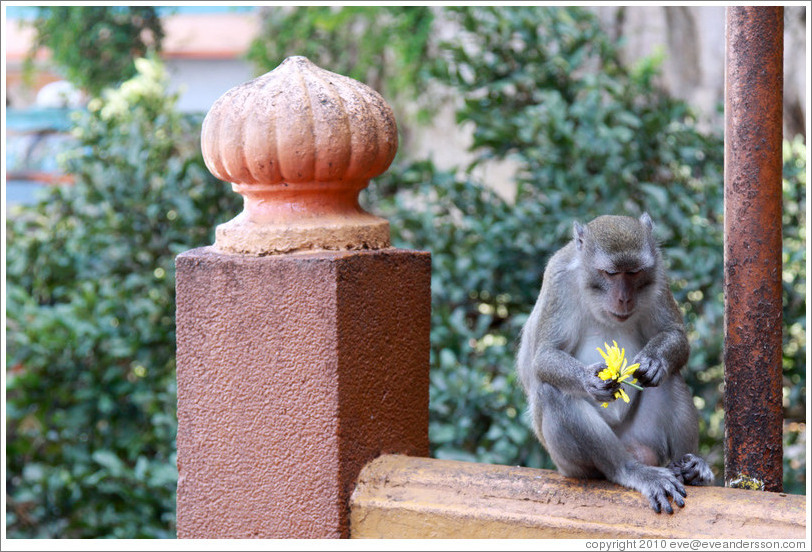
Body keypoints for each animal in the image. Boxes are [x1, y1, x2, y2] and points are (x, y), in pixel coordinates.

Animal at [516, 212, 712, 512]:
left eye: (633, 273)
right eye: (610, 274)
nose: (624, 298)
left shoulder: (658, 275)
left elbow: (674, 335)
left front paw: (655, 361)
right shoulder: (559, 280)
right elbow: (545, 356)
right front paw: (590, 382)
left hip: (645, 436)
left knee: (668, 379)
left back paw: (690, 465)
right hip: (572, 465)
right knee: (552, 393)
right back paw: (630, 471)